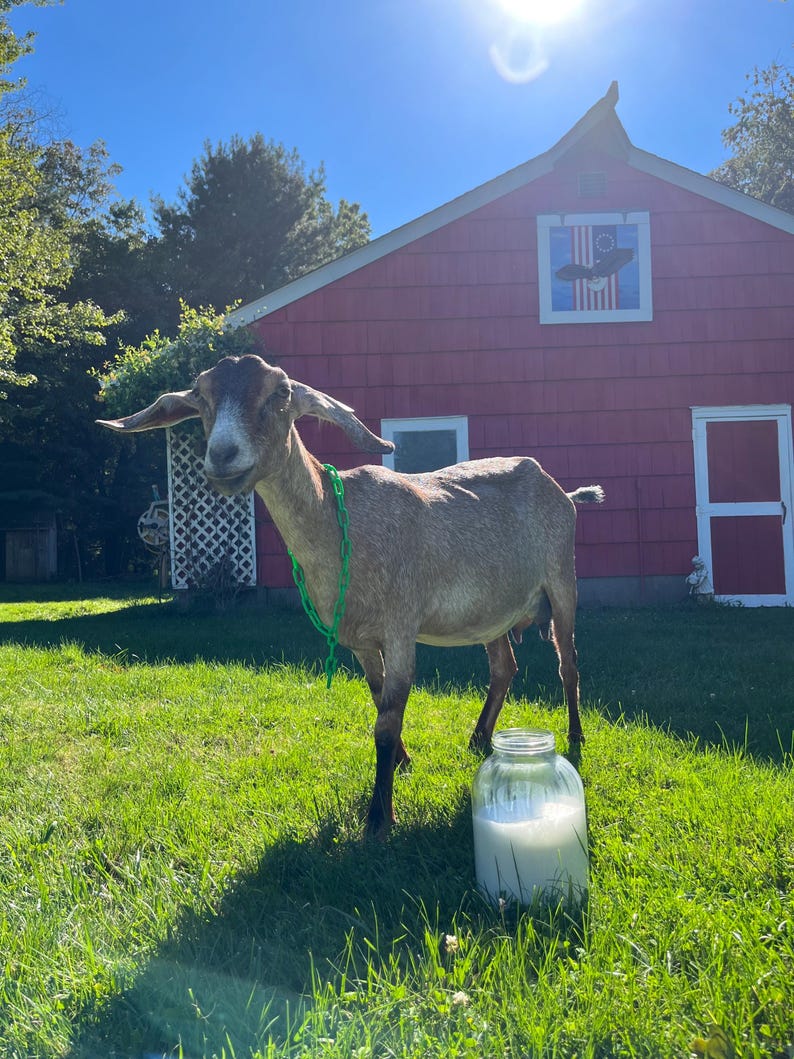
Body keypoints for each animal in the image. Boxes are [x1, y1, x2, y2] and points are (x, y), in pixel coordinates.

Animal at [98, 354, 604, 838]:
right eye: (201, 395)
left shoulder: (400, 627)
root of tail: (565, 492)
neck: (340, 527)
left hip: (563, 580)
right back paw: (479, 739)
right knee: (504, 668)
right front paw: (402, 763)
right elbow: (380, 703)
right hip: (492, 611)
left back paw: (575, 737)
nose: (222, 456)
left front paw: (379, 818)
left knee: (569, 663)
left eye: (281, 392)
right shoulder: (360, 640)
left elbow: (386, 721)